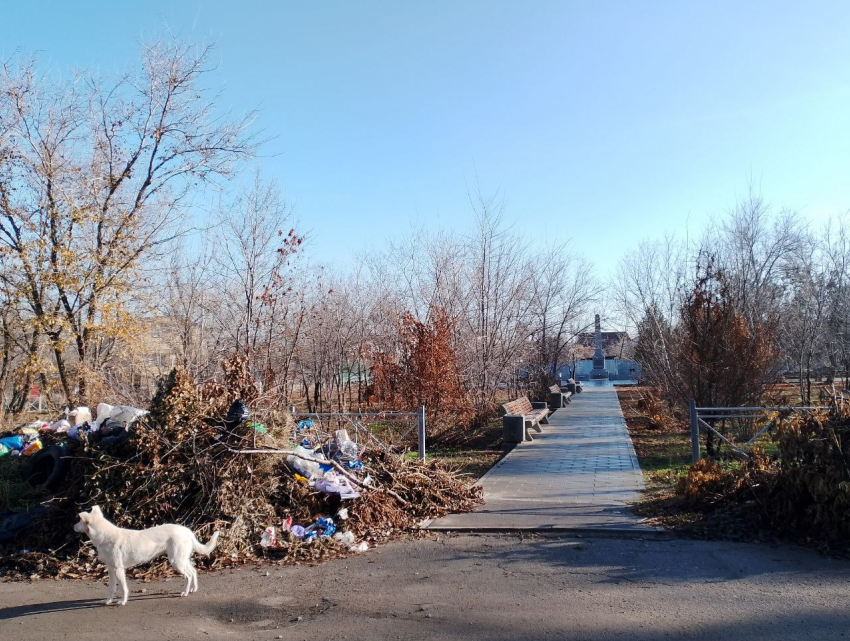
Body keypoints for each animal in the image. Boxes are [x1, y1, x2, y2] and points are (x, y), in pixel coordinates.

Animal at [73, 504, 219, 604]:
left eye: (79, 521)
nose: (73, 526)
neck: (104, 535)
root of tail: (188, 531)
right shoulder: (110, 569)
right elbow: (111, 588)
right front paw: (109, 601)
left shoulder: (119, 569)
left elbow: (123, 588)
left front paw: (122, 601)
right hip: (181, 559)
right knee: (193, 571)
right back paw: (193, 589)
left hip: (176, 561)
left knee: (188, 575)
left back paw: (185, 592)